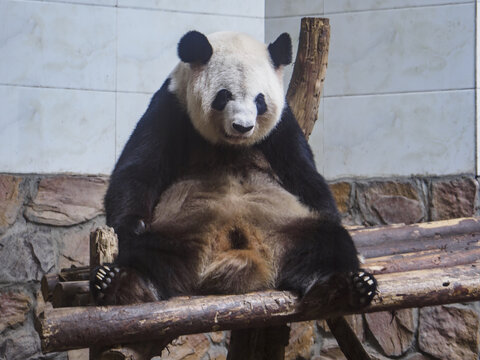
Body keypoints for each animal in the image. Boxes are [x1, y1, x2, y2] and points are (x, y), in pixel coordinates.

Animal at [90, 29, 376, 310]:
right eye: (224, 95)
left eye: (260, 100)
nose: (243, 126)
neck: (231, 144)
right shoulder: (171, 108)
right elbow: (139, 169)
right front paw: (130, 224)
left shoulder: (282, 126)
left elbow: (303, 174)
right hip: (181, 225)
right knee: (153, 251)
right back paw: (125, 284)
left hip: (287, 225)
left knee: (326, 243)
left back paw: (343, 287)